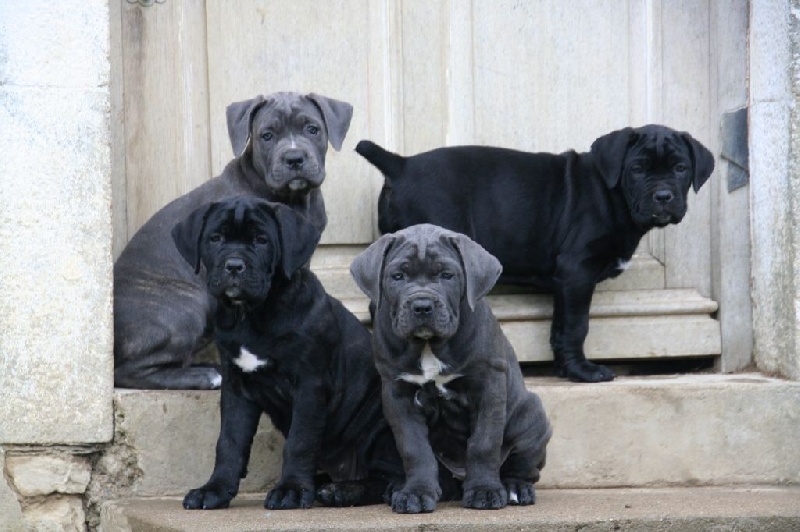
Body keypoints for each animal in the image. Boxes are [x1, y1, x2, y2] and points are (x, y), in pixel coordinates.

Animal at [114, 91, 352, 388]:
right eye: (267, 136)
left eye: (312, 129)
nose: (294, 157)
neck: (293, 198)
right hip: (190, 305)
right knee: (128, 371)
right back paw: (205, 375)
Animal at [172, 197, 404, 510]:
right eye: (215, 238)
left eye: (261, 240)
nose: (234, 265)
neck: (251, 316)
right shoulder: (236, 388)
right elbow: (229, 441)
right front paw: (215, 489)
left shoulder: (309, 386)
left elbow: (300, 441)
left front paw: (291, 489)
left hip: (380, 427)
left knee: (393, 477)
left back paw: (344, 492)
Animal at [350, 222, 552, 512]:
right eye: (398, 276)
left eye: (447, 275)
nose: (422, 305)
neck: (428, 345)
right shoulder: (398, 396)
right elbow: (414, 448)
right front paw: (416, 493)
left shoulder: (488, 387)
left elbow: (484, 443)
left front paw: (484, 491)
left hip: (532, 417)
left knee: (523, 464)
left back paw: (515, 487)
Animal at [356, 124, 712, 382]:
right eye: (637, 168)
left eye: (681, 168)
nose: (663, 196)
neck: (613, 194)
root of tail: (401, 164)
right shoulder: (577, 272)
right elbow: (576, 326)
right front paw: (583, 372)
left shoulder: (565, 284)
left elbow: (560, 327)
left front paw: (565, 369)